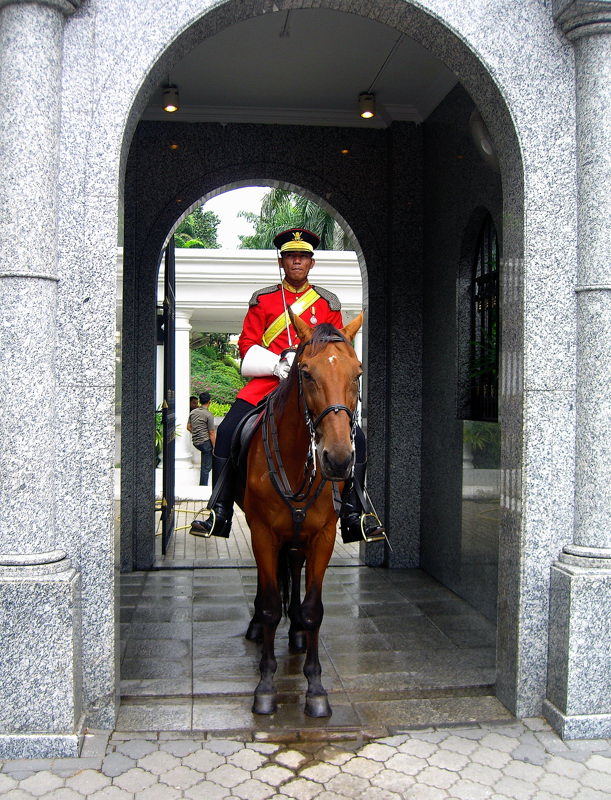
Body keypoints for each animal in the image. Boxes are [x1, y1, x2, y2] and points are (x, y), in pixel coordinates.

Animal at [238, 310, 364, 716]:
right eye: (306, 373)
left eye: (357, 373)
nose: (338, 460)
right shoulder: (262, 532)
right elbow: (269, 606)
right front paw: (265, 685)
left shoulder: (322, 536)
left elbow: (313, 609)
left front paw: (316, 687)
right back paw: (259, 629)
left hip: (299, 535)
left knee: (292, 569)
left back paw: (294, 633)